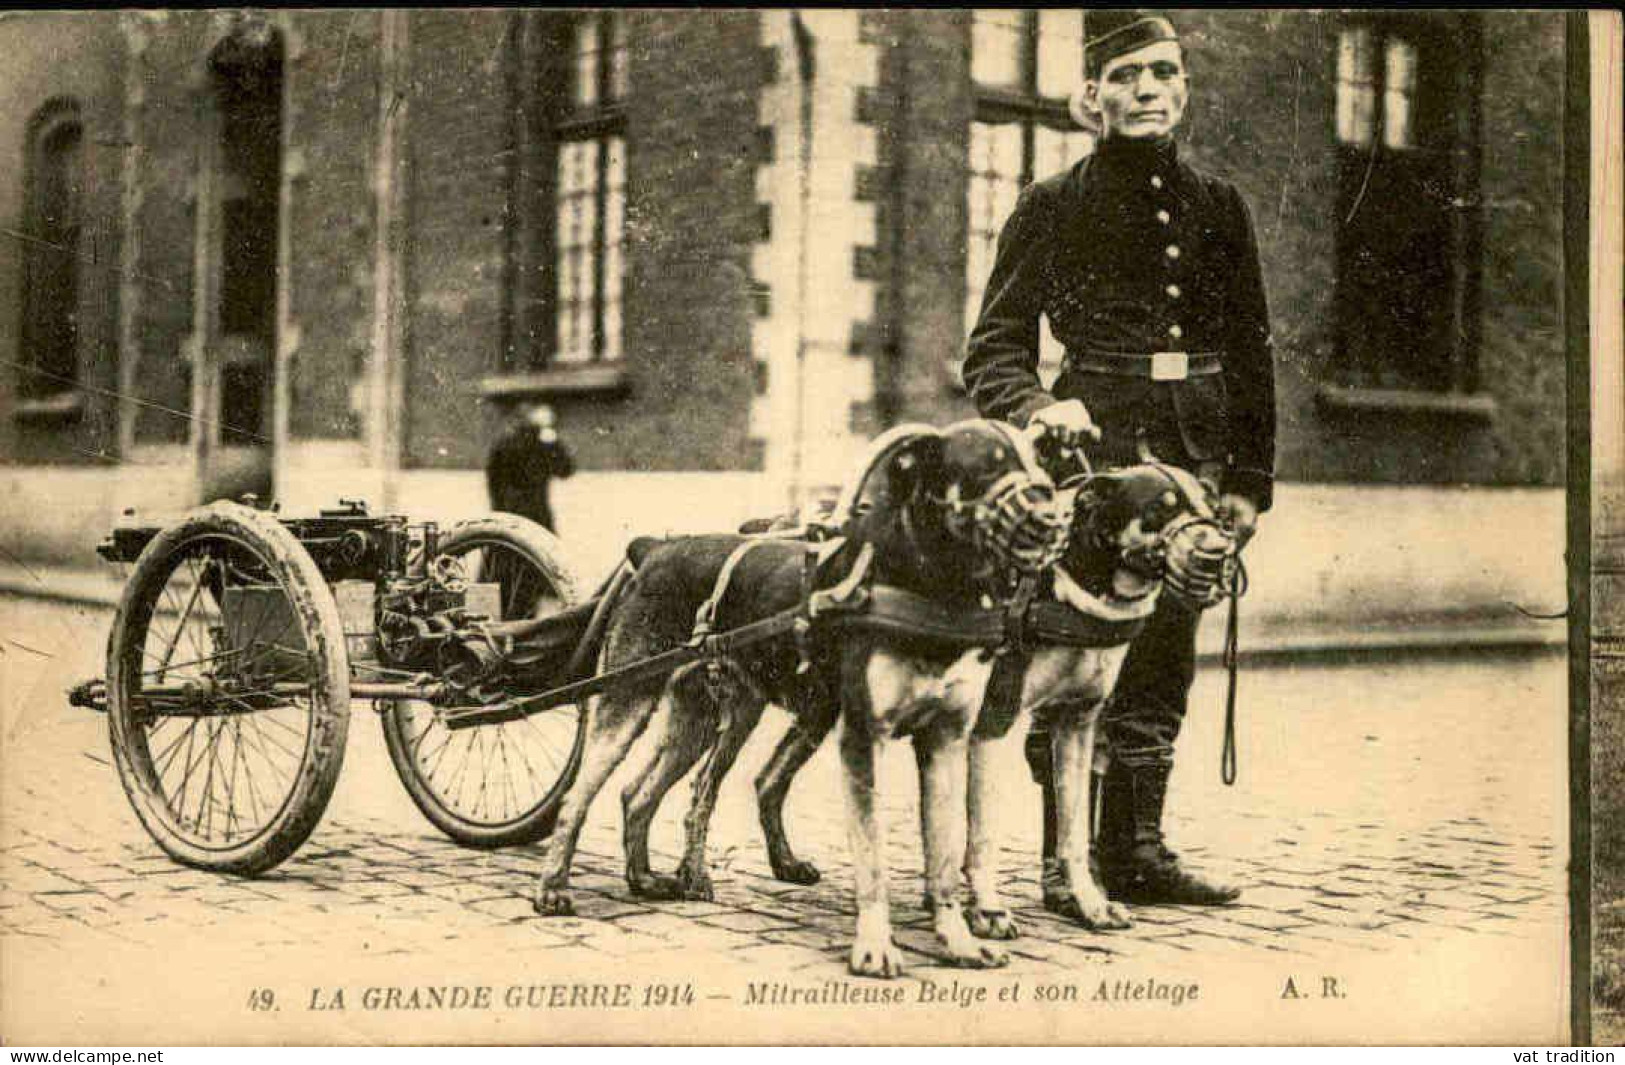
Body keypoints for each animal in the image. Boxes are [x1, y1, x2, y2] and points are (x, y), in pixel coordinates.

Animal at [526, 419, 1072, 982]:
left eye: (1042, 460)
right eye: (987, 465)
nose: (1054, 515)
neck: (927, 588)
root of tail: (653, 549)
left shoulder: (946, 738)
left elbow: (943, 856)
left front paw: (958, 942)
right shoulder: (864, 740)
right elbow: (873, 857)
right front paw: (875, 949)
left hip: (708, 716)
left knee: (640, 793)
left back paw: (646, 878)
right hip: (627, 702)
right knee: (579, 797)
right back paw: (553, 889)